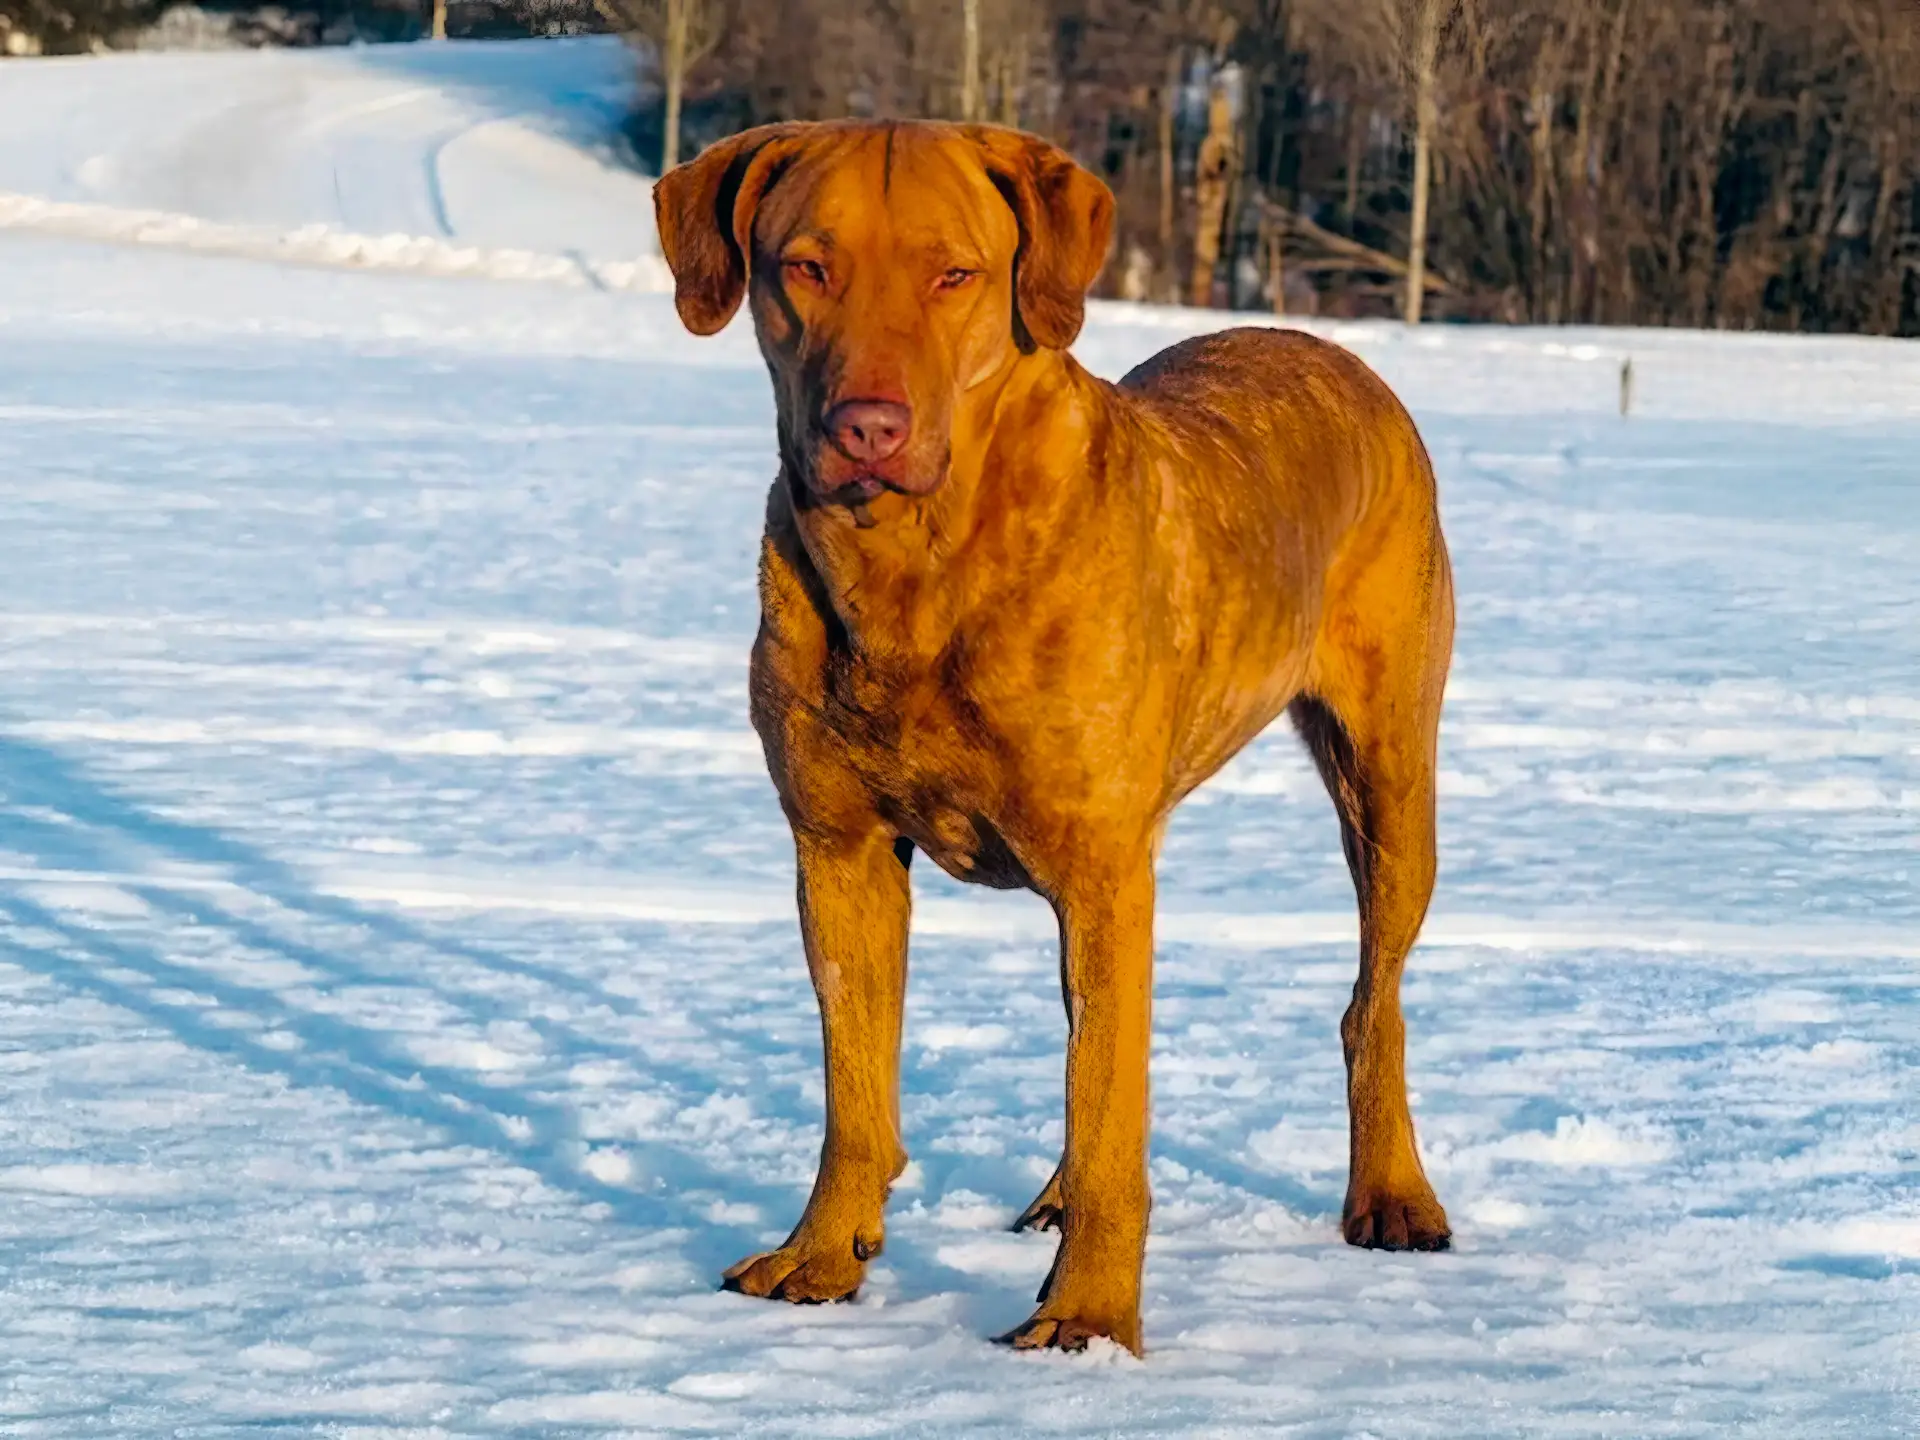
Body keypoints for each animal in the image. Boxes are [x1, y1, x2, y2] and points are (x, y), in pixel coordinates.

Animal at [652, 118, 1443, 1359]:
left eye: (955, 274)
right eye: (805, 267)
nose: (865, 427)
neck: (915, 568)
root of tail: (1340, 353)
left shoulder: (1105, 863)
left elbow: (1111, 1105)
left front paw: (1091, 1319)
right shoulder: (836, 848)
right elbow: (855, 1085)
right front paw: (821, 1259)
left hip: (1391, 772)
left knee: (1372, 998)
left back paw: (1393, 1196)